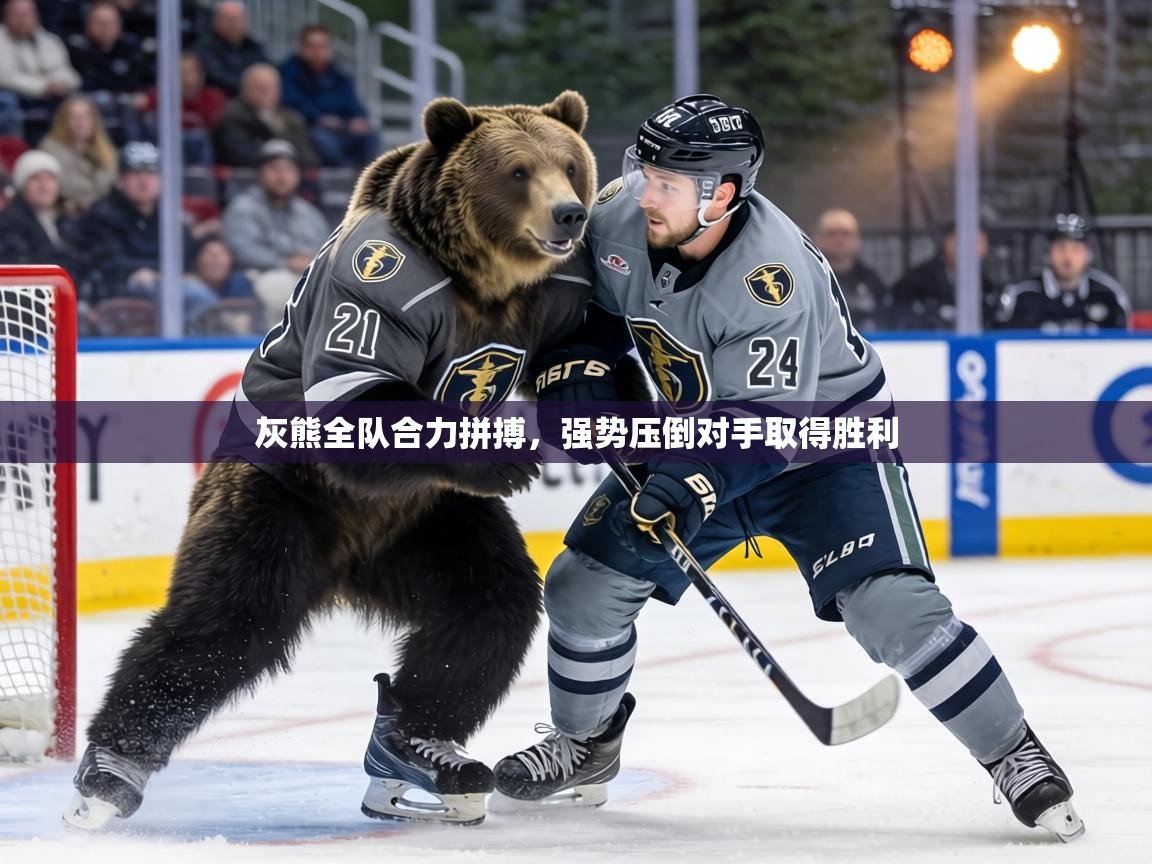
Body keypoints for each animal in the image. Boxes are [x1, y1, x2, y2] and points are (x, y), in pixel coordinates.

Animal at [65, 91, 599, 829]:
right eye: (517, 171)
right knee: (222, 627)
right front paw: (502, 456)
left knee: (488, 604)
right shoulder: (383, 286)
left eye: (568, 165)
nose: (568, 214)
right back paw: (106, 776)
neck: (481, 280)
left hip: (424, 529)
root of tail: (345, 567)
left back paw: (422, 748)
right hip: (281, 503)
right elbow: (361, 394)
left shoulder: (555, 293)